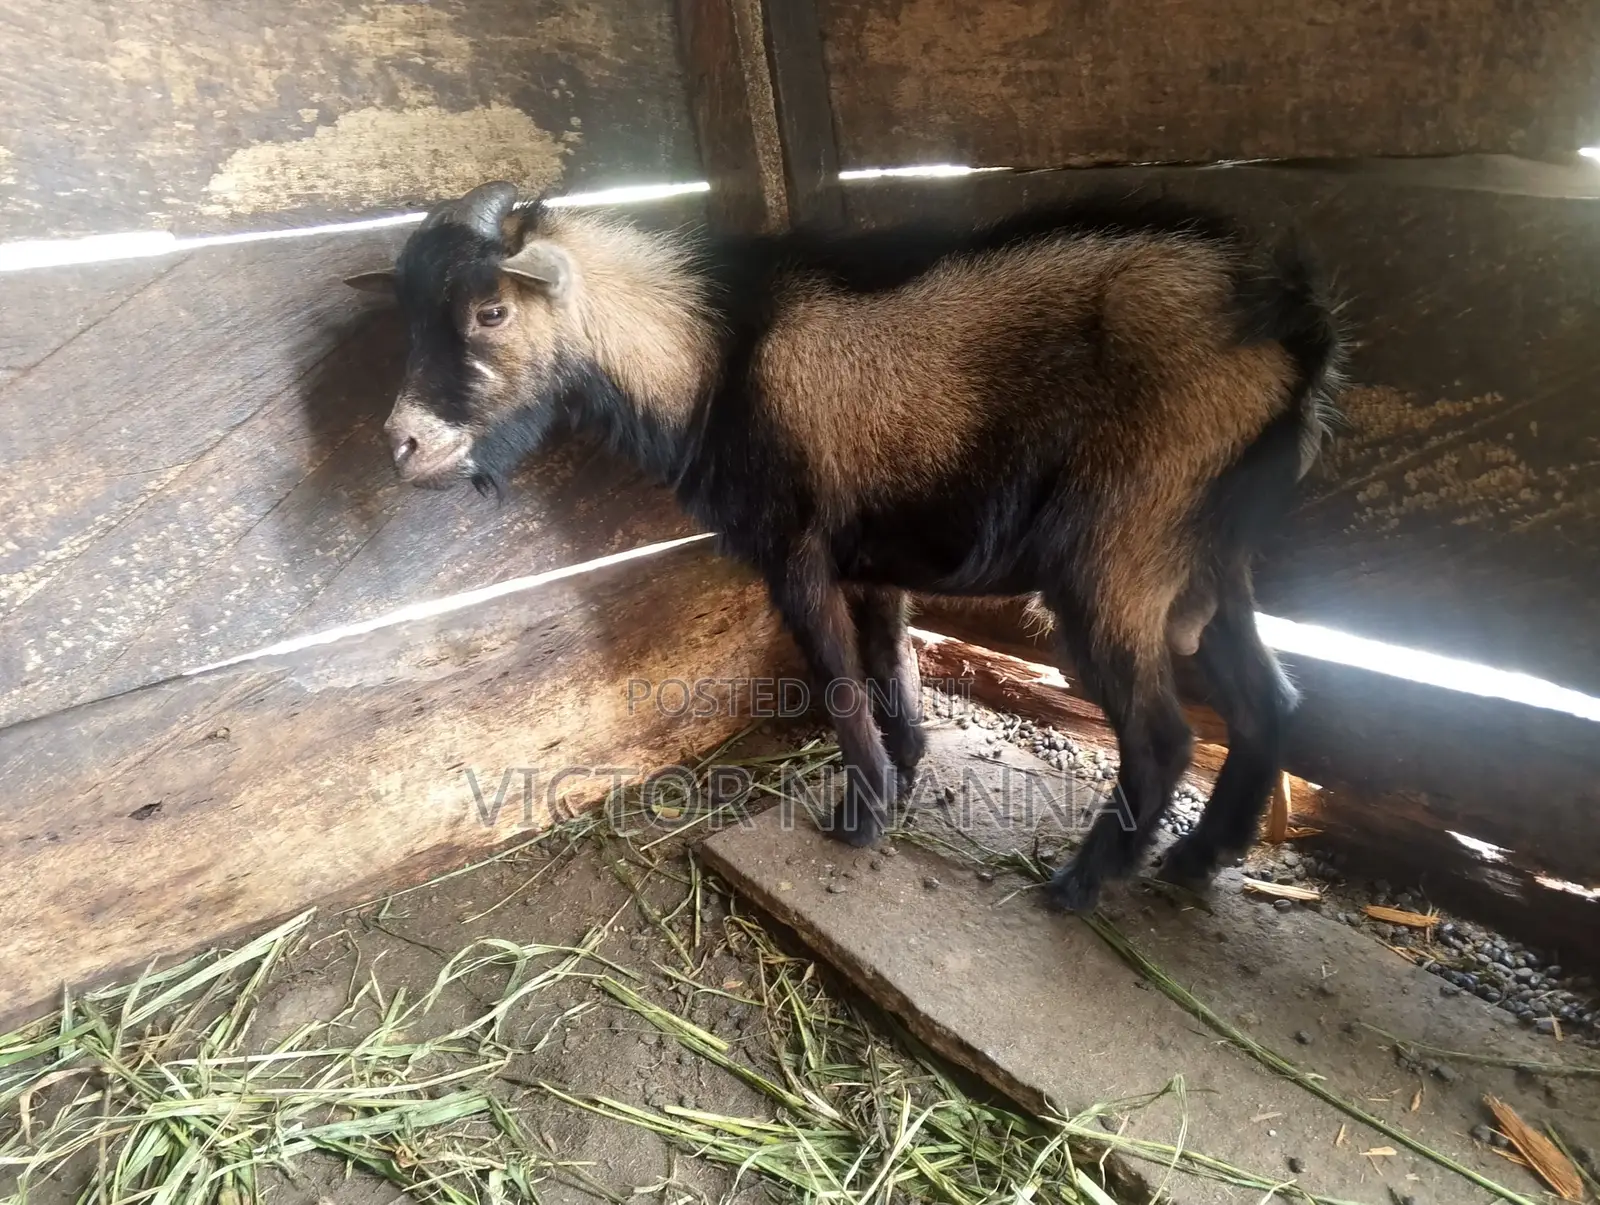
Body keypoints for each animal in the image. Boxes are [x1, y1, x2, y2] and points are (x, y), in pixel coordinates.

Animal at [345, 180, 1344, 912]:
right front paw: (903, 776)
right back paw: (1198, 860)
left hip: (1118, 547)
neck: (712, 351)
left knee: (1164, 733)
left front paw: (858, 817)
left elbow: (836, 678)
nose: (401, 443)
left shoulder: (795, 550)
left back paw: (1080, 885)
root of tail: (1291, 327)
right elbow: (889, 665)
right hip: (1209, 552)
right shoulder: (876, 561)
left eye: (490, 312)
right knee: (1271, 699)